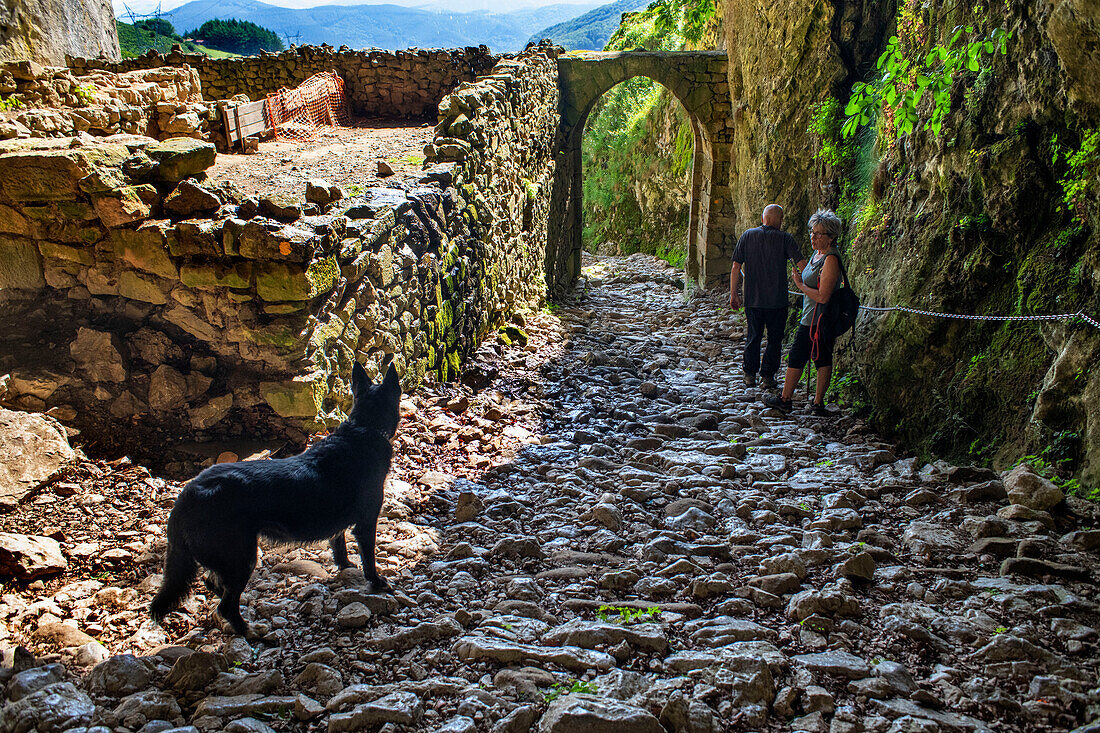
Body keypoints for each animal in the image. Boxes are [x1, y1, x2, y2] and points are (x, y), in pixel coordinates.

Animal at [150, 360, 400, 633]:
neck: (365, 427)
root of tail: (188, 494)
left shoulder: (340, 526)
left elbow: (339, 546)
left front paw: (345, 568)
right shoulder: (366, 523)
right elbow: (369, 559)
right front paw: (377, 582)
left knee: (214, 585)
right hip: (242, 558)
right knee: (226, 605)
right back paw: (249, 631)